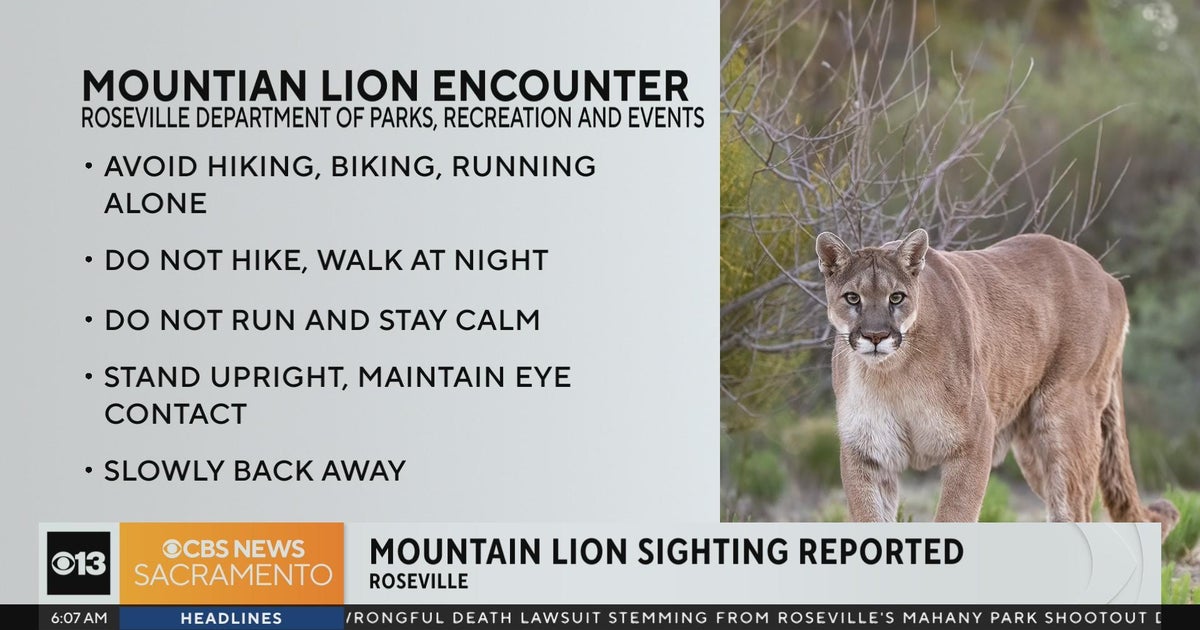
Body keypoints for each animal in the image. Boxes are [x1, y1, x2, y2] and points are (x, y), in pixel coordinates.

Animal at [814, 228, 1178, 537]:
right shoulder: (865, 450)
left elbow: (954, 517)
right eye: (852, 298)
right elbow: (869, 518)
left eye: (896, 297)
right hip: (1033, 449)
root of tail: (1107, 276)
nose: (876, 335)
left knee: (1074, 513)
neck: (891, 373)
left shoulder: (974, 437)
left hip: (1064, 415)